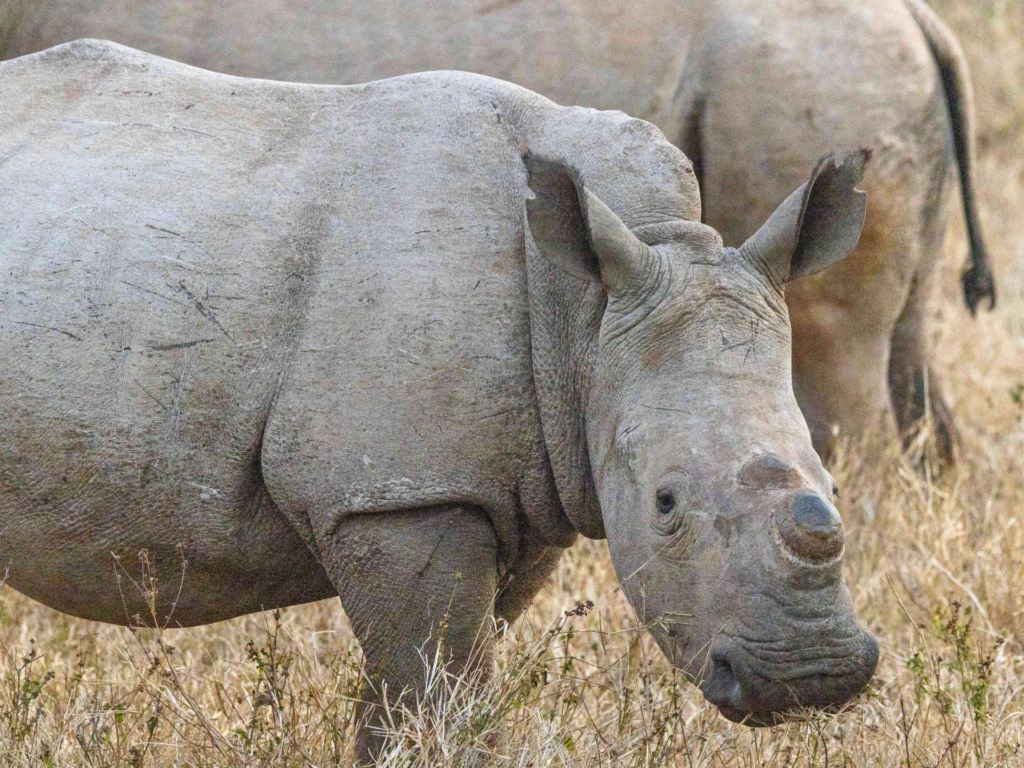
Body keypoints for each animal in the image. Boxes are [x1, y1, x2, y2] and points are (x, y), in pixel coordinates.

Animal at [0, 41, 878, 760]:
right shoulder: (400, 494)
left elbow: (425, 693)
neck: (590, 314)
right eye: (666, 504)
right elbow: (436, 693)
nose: (814, 678)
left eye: (835, 485)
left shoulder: (516, 494)